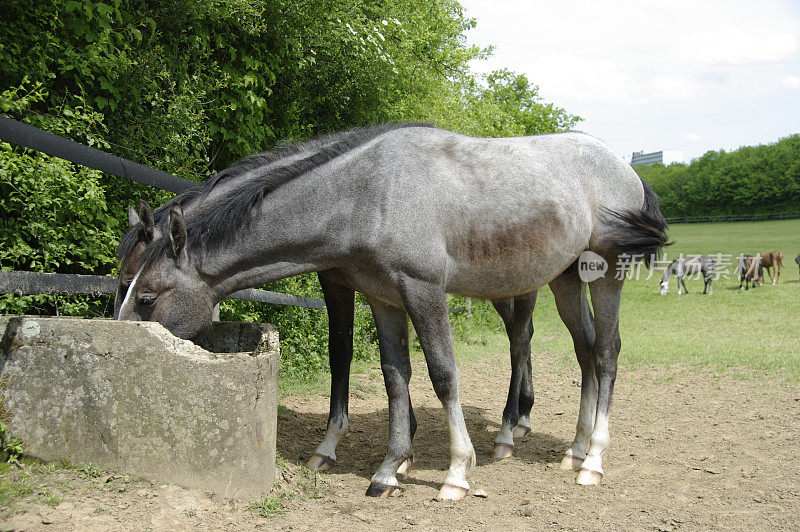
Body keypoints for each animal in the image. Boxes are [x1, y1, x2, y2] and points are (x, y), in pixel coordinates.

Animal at [117, 124, 668, 498]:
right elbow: (395, 375)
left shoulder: (423, 291)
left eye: (145, 297)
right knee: (585, 351)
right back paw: (572, 448)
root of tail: (626, 167)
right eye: (123, 283)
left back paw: (590, 459)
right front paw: (389, 469)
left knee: (605, 353)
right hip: (566, 279)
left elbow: (442, 374)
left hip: (605, 273)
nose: (120, 350)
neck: (367, 193)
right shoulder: (383, 297)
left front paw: (455, 473)